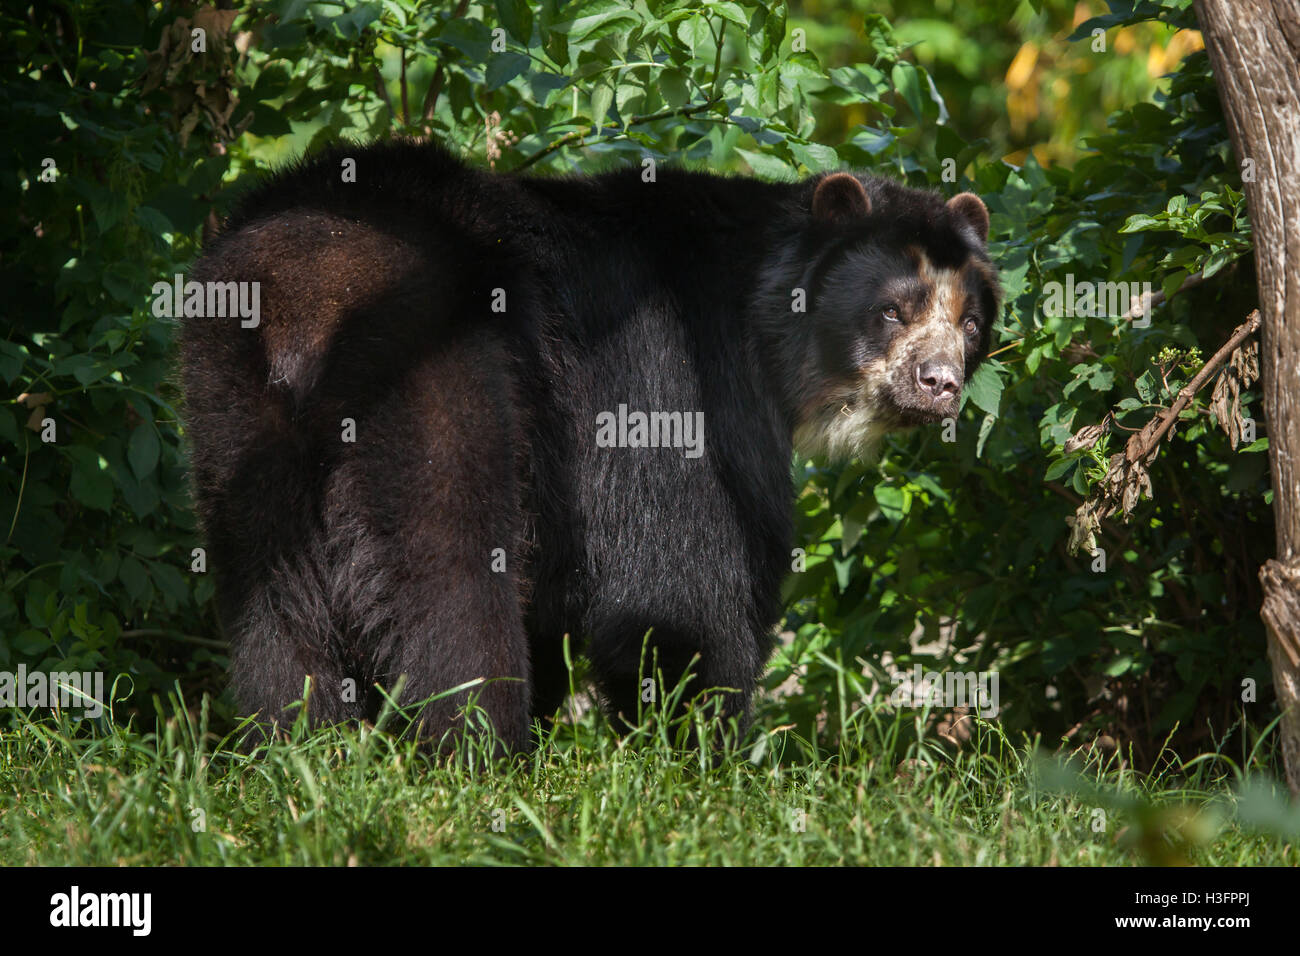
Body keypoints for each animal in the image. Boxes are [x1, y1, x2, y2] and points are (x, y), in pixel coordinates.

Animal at [179, 140, 1000, 751]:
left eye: (969, 322)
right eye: (893, 309)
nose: (940, 384)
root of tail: (307, 302)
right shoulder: (673, 375)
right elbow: (681, 578)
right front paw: (702, 753)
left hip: (231, 407)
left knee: (271, 601)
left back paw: (300, 749)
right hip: (442, 375)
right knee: (451, 570)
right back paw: (480, 758)